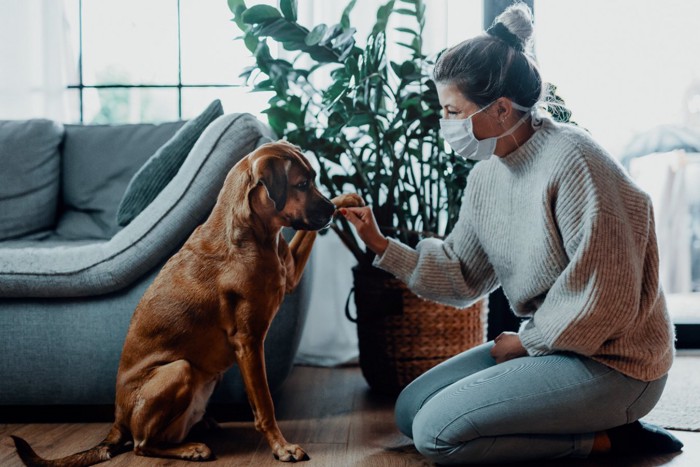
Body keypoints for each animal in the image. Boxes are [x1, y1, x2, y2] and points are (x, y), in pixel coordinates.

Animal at [12, 142, 366, 464]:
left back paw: (205, 425)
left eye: (314, 180)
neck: (253, 234)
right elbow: (265, 404)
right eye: (302, 185)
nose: (329, 212)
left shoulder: (289, 274)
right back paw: (192, 448)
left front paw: (348, 199)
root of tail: (117, 420)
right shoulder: (249, 342)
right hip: (178, 369)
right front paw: (281, 447)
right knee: (141, 444)